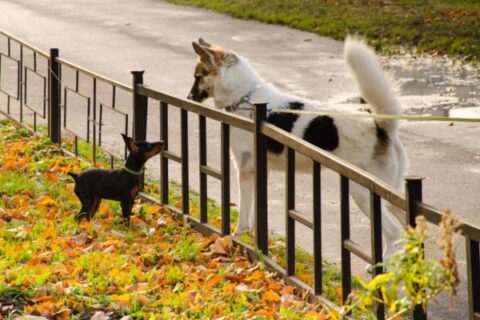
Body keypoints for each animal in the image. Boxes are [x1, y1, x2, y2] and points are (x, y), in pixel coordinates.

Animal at [188, 37, 408, 258]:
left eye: (198, 76)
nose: (189, 98)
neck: (246, 97)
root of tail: (380, 126)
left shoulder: (245, 170)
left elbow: (243, 213)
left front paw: (236, 237)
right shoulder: (260, 171)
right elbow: (257, 213)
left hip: (364, 194)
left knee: (393, 233)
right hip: (389, 195)